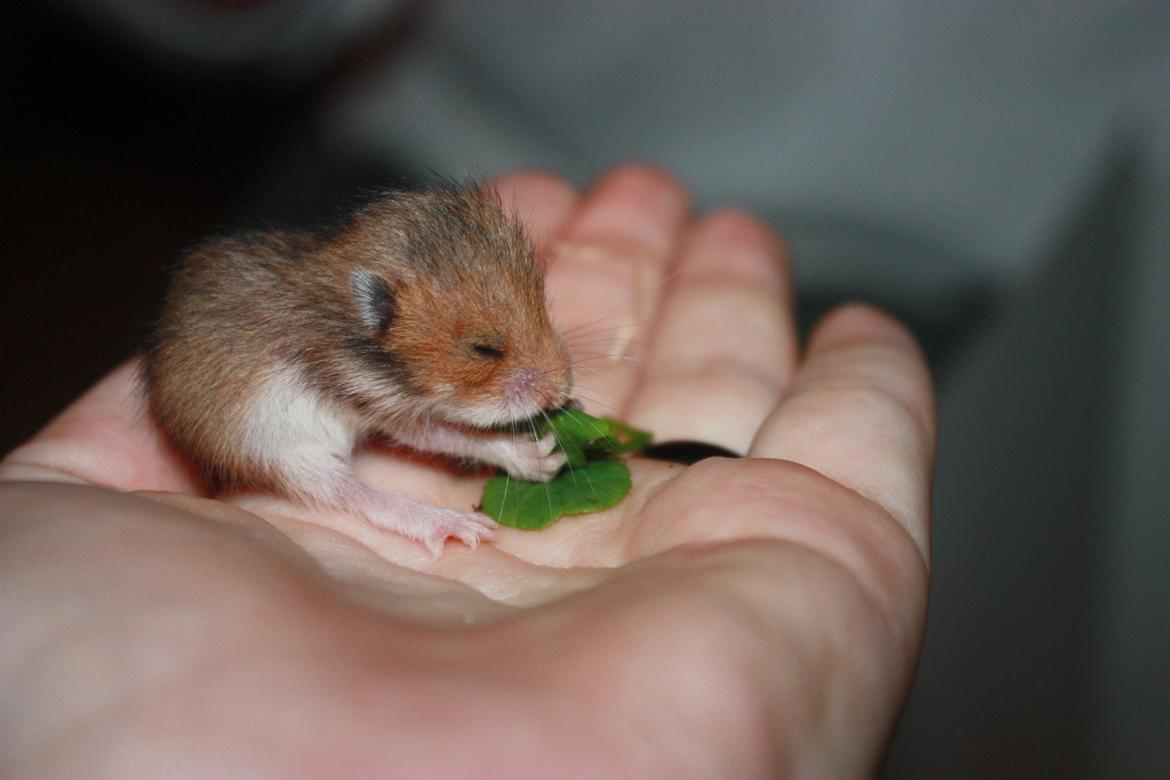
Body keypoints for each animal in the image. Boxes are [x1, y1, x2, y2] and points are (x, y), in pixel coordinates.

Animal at [143, 185, 573, 551]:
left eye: (542, 304)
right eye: (483, 349)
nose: (562, 391)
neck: (351, 327)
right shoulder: (371, 394)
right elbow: (451, 436)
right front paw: (546, 458)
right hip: (281, 450)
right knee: (353, 495)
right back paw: (457, 526)